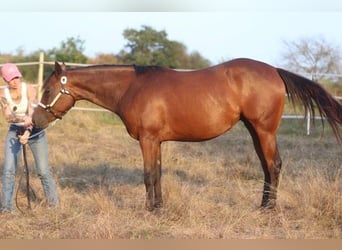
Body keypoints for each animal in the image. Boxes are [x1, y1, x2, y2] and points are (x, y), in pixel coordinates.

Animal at [32, 58, 342, 211]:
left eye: (47, 91)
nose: (34, 122)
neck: (132, 87)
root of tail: (274, 71)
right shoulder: (155, 141)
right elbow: (157, 173)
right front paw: (159, 207)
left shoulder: (147, 140)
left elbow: (148, 175)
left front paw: (150, 209)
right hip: (255, 131)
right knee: (267, 167)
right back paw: (263, 204)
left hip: (264, 130)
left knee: (274, 165)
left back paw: (269, 208)